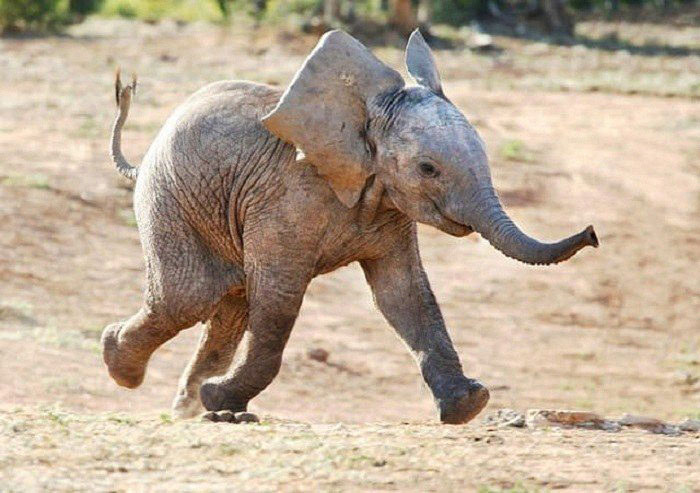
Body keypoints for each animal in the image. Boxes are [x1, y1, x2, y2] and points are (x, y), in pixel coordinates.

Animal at [101, 29, 598, 424]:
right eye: (428, 169)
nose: (593, 234)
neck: (364, 119)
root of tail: (143, 159)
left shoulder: (389, 207)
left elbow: (403, 294)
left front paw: (468, 405)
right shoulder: (286, 200)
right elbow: (279, 297)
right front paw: (217, 397)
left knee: (227, 306)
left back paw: (191, 408)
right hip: (170, 199)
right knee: (188, 297)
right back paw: (122, 365)